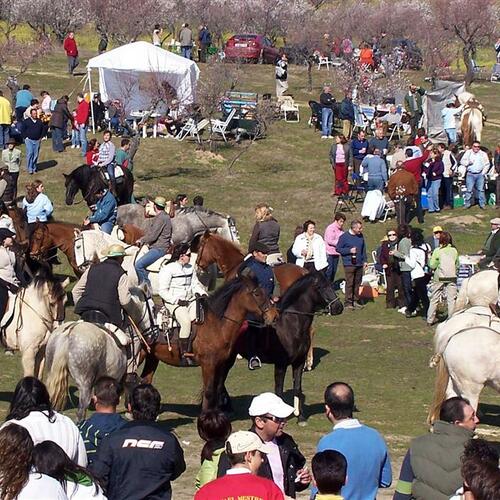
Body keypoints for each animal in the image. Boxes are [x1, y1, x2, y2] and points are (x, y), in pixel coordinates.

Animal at [141, 276, 278, 412]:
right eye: (257, 294)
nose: (274, 315)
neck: (217, 325)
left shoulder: (220, 364)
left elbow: (217, 389)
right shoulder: (208, 364)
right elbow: (209, 391)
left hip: (152, 358)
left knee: (145, 380)